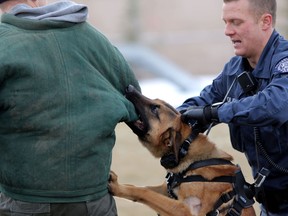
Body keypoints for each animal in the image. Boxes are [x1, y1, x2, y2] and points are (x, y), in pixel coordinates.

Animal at [109, 85, 255, 216]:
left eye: (154, 108)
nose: (129, 87)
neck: (186, 150)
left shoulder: (185, 210)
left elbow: (145, 192)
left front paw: (116, 187)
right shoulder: (166, 190)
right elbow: (141, 188)